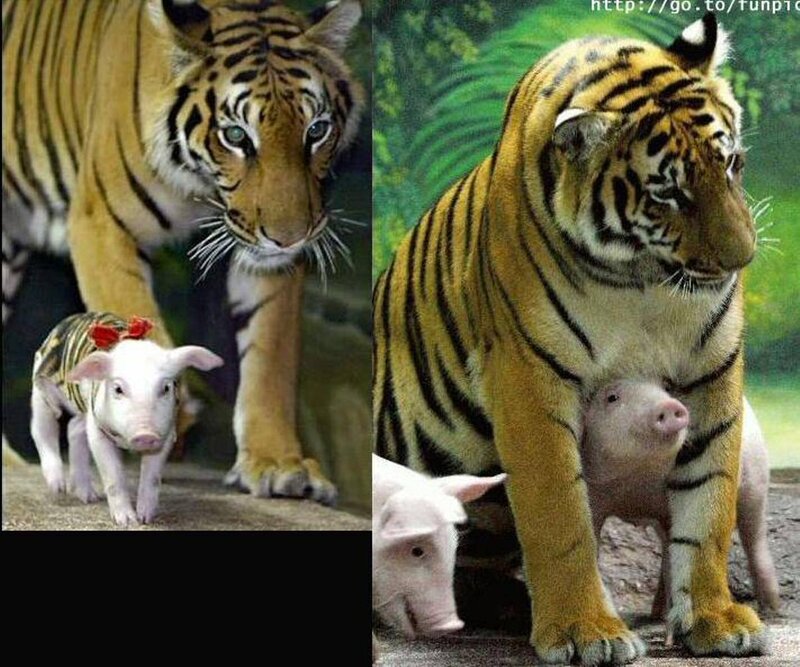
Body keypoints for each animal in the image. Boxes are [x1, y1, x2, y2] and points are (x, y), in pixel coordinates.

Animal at [2, 0, 364, 505]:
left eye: (317, 130)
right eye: (236, 135)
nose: (291, 237)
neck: (199, 187)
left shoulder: (262, 257)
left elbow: (270, 363)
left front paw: (278, 463)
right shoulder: (101, 223)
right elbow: (136, 316)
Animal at [373, 12, 766, 663]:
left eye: (732, 164)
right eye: (668, 193)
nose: (743, 260)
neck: (642, 280)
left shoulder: (713, 368)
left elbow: (709, 502)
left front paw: (715, 619)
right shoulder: (527, 376)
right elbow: (561, 515)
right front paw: (586, 632)